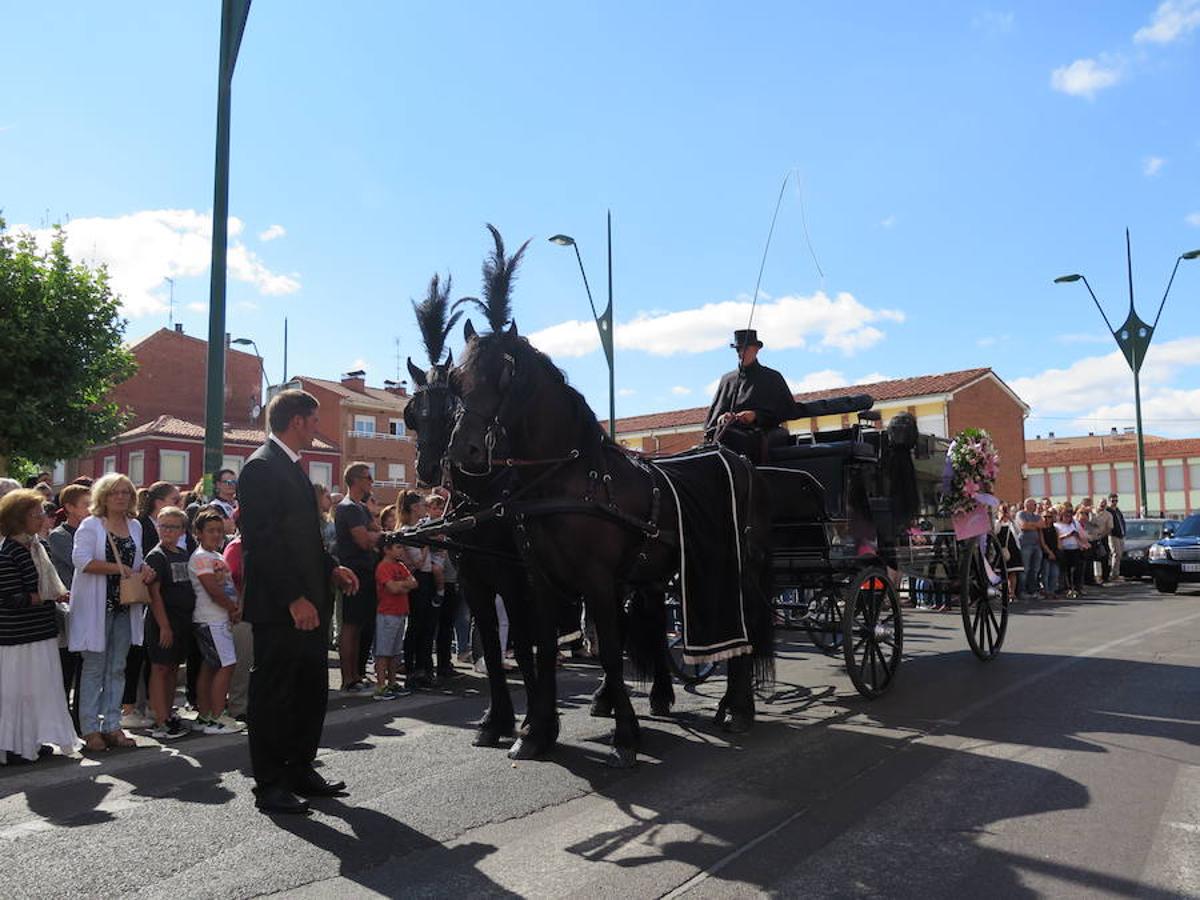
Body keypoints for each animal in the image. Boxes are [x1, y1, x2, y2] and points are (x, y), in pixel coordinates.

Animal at [446, 321, 772, 763]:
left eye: (505, 375)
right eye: (456, 380)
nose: (464, 449)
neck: (566, 478)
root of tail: (737, 459)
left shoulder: (596, 579)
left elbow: (610, 651)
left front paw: (626, 734)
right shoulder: (539, 581)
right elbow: (545, 649)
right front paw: (535, 731)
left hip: (732, 571)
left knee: (745, 625)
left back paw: (736, 707)